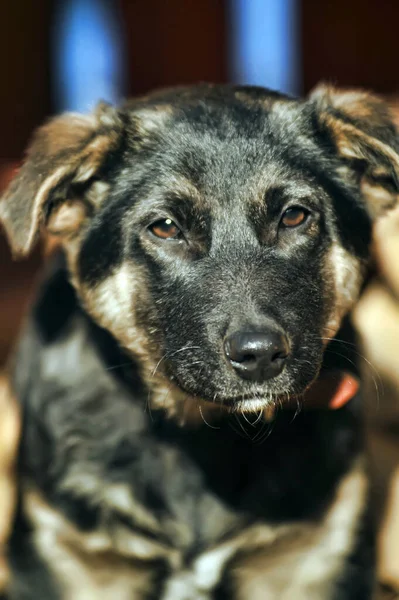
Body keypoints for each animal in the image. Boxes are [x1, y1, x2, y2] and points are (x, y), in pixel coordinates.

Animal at [0, 84, 399, 600]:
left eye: (294, 216)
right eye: (165, 227)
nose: (260, 356)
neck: (203, 432)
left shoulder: (316, 560)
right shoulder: (68, 561)